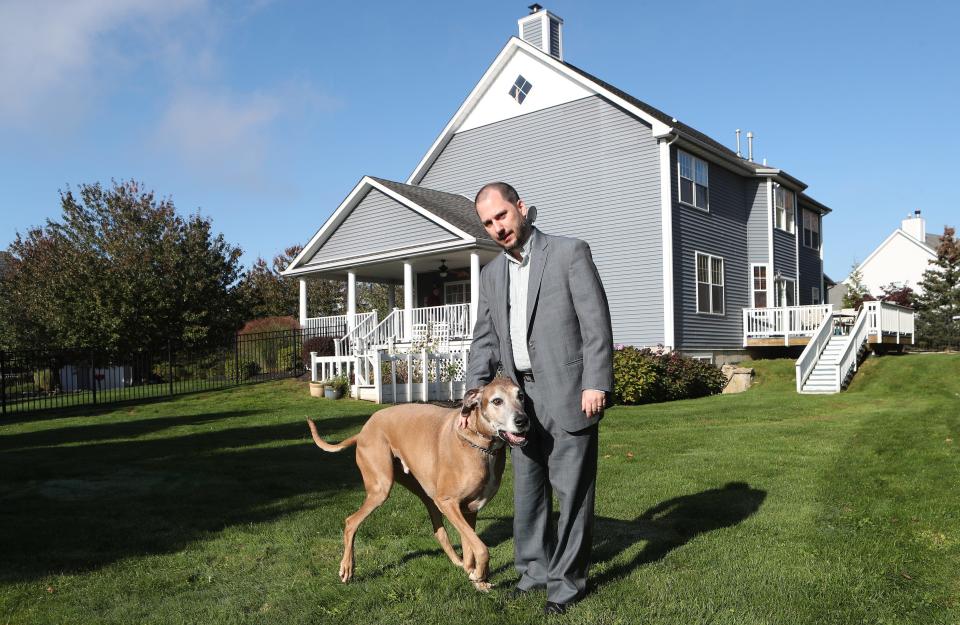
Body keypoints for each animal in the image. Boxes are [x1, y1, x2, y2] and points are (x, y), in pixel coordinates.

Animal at [308, 376, 528, 588]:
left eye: (521, 396)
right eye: (497, 401)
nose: (523, 420)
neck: (480, 443)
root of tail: (363, 431)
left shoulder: (468, 509)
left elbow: (471, 546)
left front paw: (477, 578)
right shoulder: (448, 502)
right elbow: (482, 548)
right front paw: (479, 575)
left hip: (425, 493)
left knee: (440, 533)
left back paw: (458, 562)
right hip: (381, 487)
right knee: (351, 522)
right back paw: (347, 568)